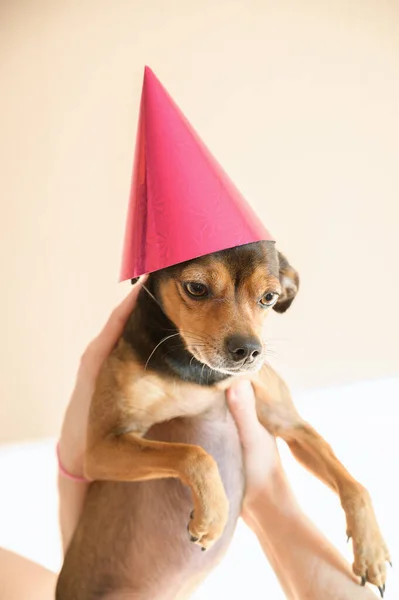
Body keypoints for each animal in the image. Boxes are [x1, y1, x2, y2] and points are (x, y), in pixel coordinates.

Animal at [56, 241, 390, 596]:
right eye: (196, 288)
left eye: (269, 297)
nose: (248, 350)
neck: (201, 375)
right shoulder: (101, 448)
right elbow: (195, 455)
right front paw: (213, 516)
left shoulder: (290, 424)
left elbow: (354, 485)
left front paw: (372, 552)